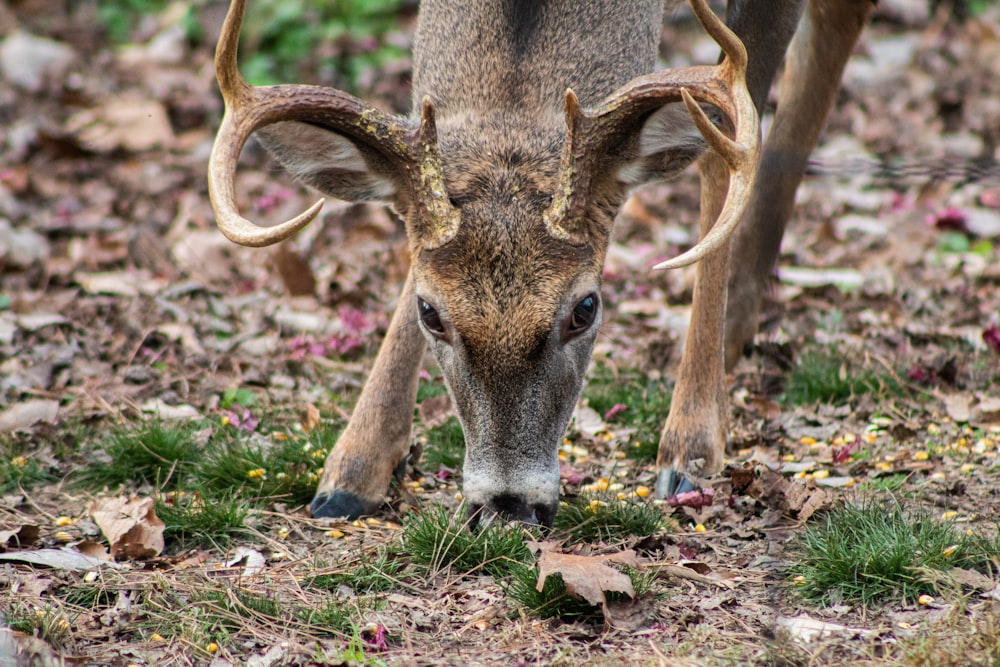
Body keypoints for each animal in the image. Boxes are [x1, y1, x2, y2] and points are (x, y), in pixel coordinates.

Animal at [207, 0, 872, 528]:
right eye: (430, 312)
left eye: (586, 308)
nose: (508, 505)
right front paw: (351, 469)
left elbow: (723, 143)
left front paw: (690, 449)